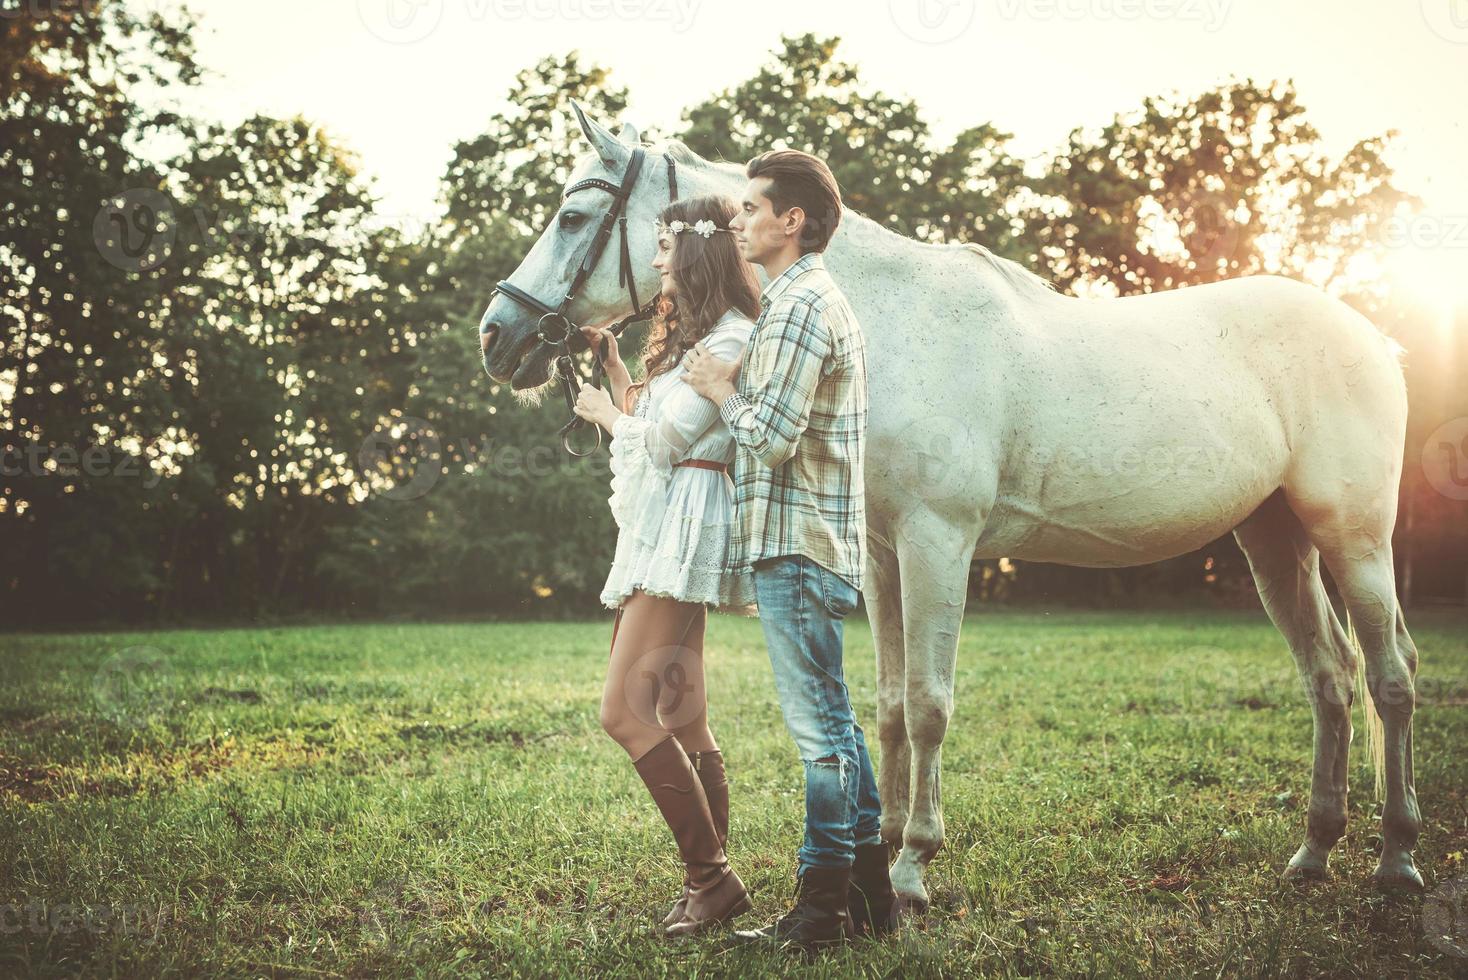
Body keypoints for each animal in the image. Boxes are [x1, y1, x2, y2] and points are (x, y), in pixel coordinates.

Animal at [478, 107, 1421, 909]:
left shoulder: (941, 542)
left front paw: (912, 867)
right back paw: (1314, 853)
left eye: (573, 216)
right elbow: (892, 705)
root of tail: (1372, 334)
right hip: (1276, 543)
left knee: (1390, 678)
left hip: (1354, 540)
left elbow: (931, 702)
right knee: (1330, 680)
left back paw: (1398, 859)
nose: (497, 335)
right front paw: (884, 842)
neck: (881, 327)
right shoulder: (886, 552)